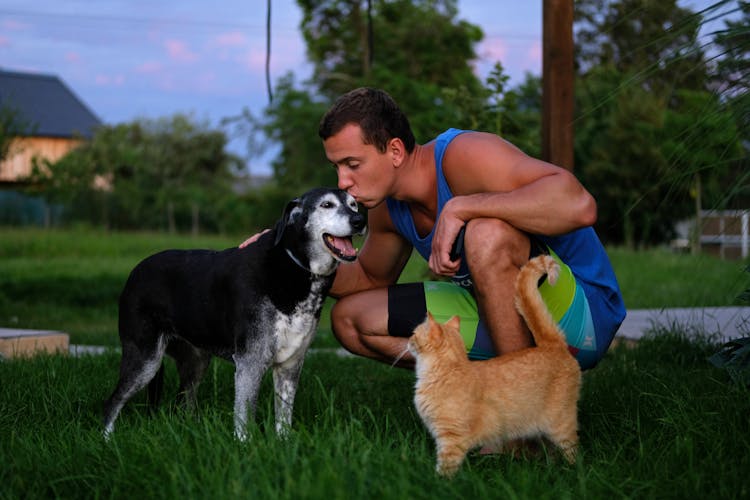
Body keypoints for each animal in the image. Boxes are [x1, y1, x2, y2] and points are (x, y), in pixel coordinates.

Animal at [103, 189, 368, 440]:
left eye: (354, 204)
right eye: (326, 204)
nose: (360, 220)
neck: (294, 265)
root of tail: (135, 271)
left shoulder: (290, 365)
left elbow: (283, 417)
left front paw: (284, 445)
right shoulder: (250, 361)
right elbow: (244, 416)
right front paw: (244, 446)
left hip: (196, 360)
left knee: (182, 402)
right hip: (145, 358)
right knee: (113, 401)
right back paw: (107, 440)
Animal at [412, 258, 580, 476]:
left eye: (414, 333)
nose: (408, 340)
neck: (448, 370)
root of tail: (551, 344)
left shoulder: (451, 439)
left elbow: (445, 468)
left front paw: (437, 480)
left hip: (560, 425)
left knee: (572, 451)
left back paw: (571, 471)